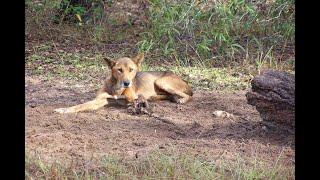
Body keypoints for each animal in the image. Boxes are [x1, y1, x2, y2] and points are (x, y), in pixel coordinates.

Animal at [54, 52, 192, 113]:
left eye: (131, 70)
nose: (127, 83)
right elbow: (80, 106)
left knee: (189, 95)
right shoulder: (99, 100)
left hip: (160, 81)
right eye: (119, 70)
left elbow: (133, 101)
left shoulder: (132, 99)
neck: (116, 88)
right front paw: (64, 109)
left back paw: (181, 100)